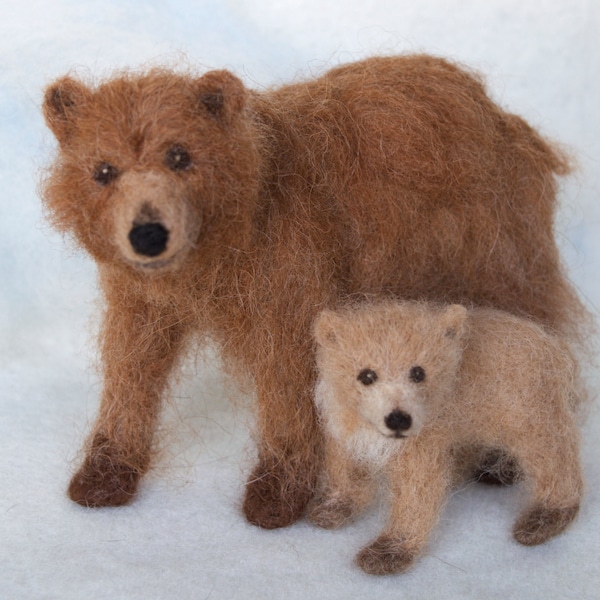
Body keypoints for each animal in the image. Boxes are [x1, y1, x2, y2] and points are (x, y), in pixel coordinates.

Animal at [42, 52, 584, 528]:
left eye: (180, 156)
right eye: (103, 170)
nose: (148, 235)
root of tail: (502, 115)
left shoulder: (290, 283)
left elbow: (289, 388)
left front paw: (276, 492)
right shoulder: (143, 302)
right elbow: (131, 371)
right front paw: (105, 471)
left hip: (494, 243)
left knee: (529, 321)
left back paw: (503, 456)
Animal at [312, 302, 584, 576]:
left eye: (418, 373)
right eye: (366, 375)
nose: (399, 419)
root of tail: (553, 345)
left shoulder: (422, 449)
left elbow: (416, 497)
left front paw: (389, 551)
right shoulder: (345, 435)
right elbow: (348, 475)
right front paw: (336, 506)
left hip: (529, 415)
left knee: (554, 458)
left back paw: (547, 515)